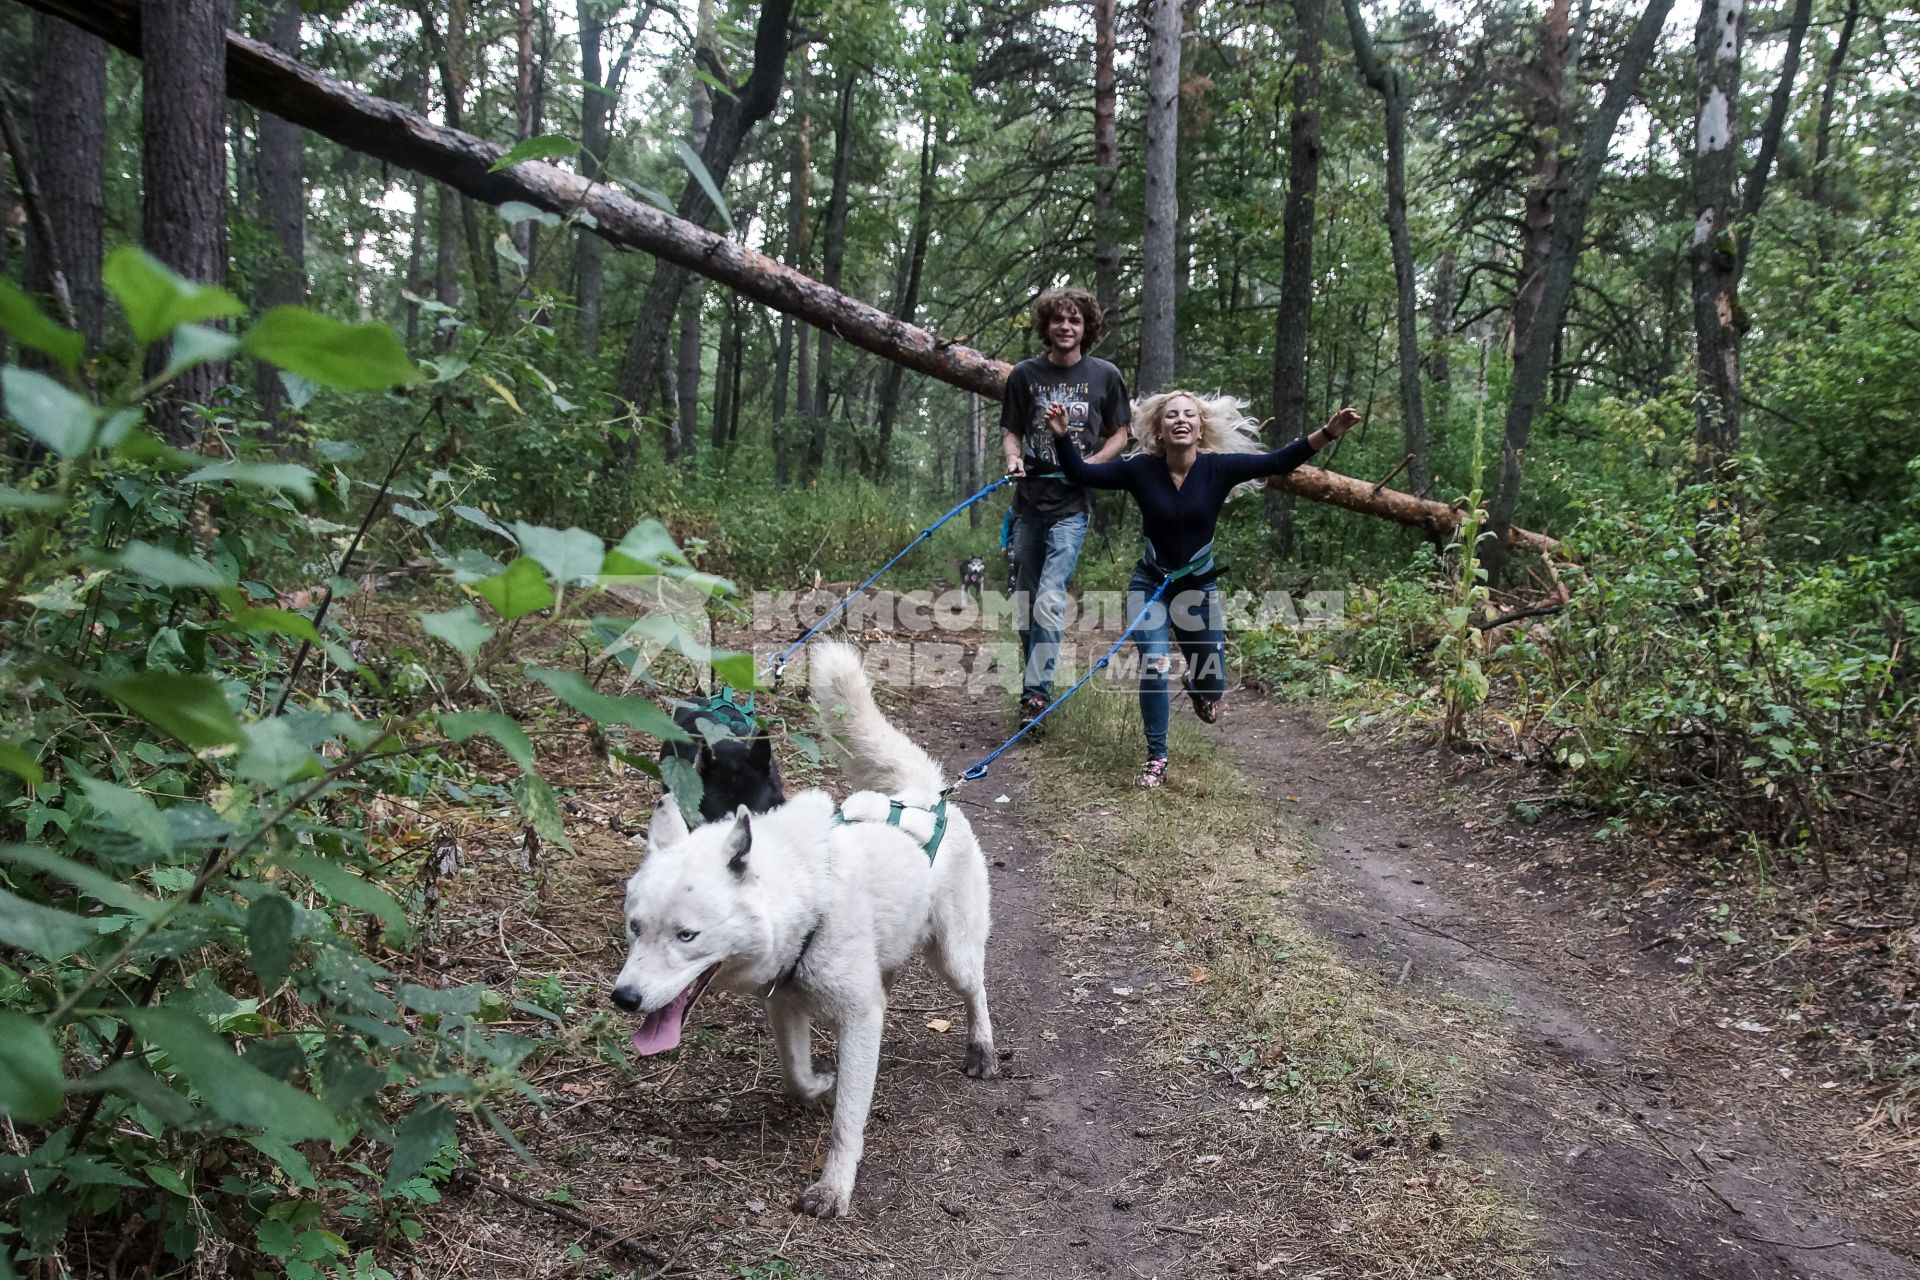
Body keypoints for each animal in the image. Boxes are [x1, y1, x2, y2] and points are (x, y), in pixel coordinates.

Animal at [614, 644, 1006, 1220]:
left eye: (687, 936)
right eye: (635, 928)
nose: (624, 998)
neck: (808, 900)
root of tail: (924, 795)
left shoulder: (858, 1018)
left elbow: (848, 1121)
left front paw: (835, 1186)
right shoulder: (784, 1004)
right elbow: (797, 1076)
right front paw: (822, 1083)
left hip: (950, 955)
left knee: (975, 990)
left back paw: (982, 1049)